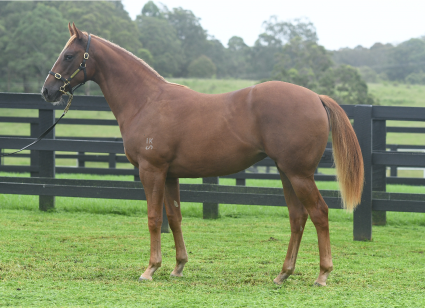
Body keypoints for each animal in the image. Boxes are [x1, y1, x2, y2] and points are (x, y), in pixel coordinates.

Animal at [41, 24, 362, 286]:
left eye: (69, 55)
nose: (48, 91)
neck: (146, 100)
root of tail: (316, 97)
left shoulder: (151, 170)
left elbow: (154, 218)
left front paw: (150, 269)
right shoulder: (169, 175)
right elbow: (175, 217)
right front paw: (178, 266)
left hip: (299, 174)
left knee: (319, 213)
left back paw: (322, 274)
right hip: (286, 173)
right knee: (297, 217)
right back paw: (283, 274)